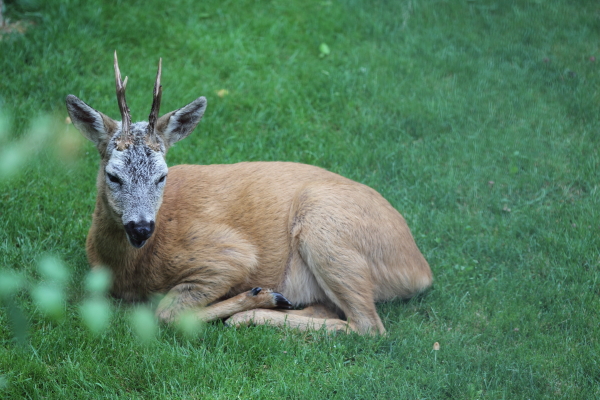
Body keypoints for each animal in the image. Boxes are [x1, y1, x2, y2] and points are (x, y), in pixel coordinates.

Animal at [64, 52, 432, 334]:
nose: (141, 227)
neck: (129, 271)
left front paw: (259, 296)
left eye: (162, 176)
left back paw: (253, 312)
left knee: (368, 326)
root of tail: (420, 268)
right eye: (113, 175)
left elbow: (167, 312)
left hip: (327, 228)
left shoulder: (229, 254)